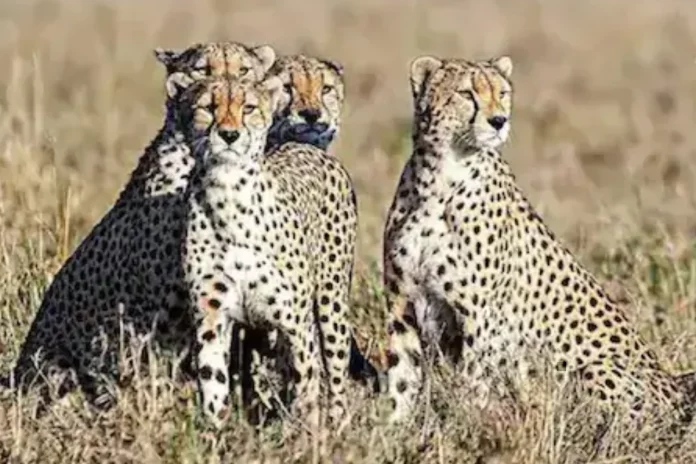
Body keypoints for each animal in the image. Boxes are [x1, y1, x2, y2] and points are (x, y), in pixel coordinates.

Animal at [179, 72, 359, 429]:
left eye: (248, 108)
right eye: (207, 107)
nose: (229, 135)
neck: (228, 197)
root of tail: (303, 145)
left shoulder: (295, 323)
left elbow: (306, 386)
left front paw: (306, 435)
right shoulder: (211, 319)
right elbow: (213, 386)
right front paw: (215, 435)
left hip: (331, 304)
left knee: (334, 373)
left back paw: (338, 424)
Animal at [381, 54, 696, 432]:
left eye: (502, 93)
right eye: (466, 93)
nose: (499, 121)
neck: (439, 179)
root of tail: (673, 384)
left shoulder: (480, 319)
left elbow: (473, 384)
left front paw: (469, 429)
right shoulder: (403, 304)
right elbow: (401, 377)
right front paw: (393, 430)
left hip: (594, 369)